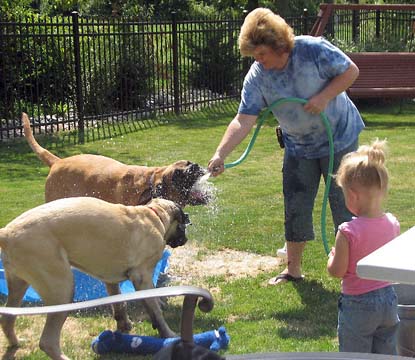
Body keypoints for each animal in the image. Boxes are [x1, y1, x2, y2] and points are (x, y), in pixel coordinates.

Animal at [0, 197, 190, 360]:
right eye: (183, 225)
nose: (186, 239)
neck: (154, 214)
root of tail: (6, 233)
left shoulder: (111, 280)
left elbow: (120, 304)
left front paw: (124, 326)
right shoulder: (143, 277)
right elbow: (155, 309)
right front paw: (168, 335)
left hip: (18, 284)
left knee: (8, 319)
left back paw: (15, 343)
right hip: (61, 290)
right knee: (47, 341)